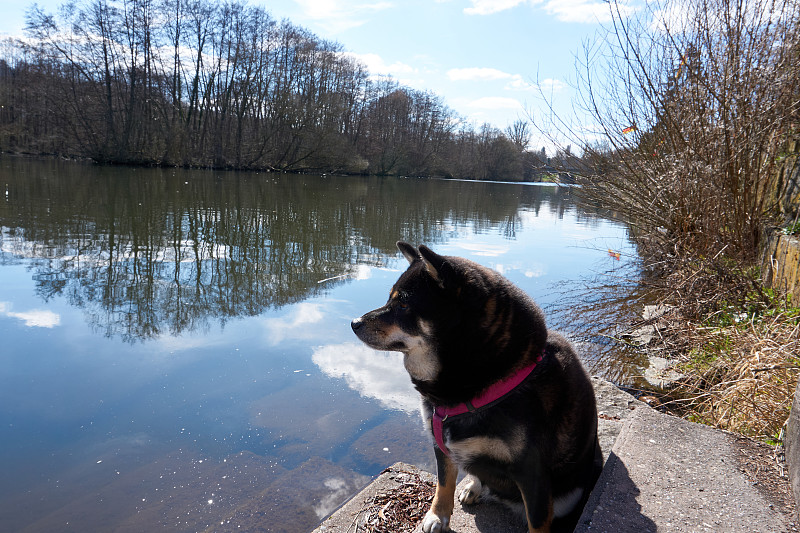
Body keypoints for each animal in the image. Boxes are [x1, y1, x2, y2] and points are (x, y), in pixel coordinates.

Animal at [350, 242, 600, 532]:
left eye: (402, 303)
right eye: (390, 299)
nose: (354, 322)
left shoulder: (533, 472)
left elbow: (537, 521)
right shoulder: (440, 444)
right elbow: (444, 482)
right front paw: (438, 515)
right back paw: (473, 486)